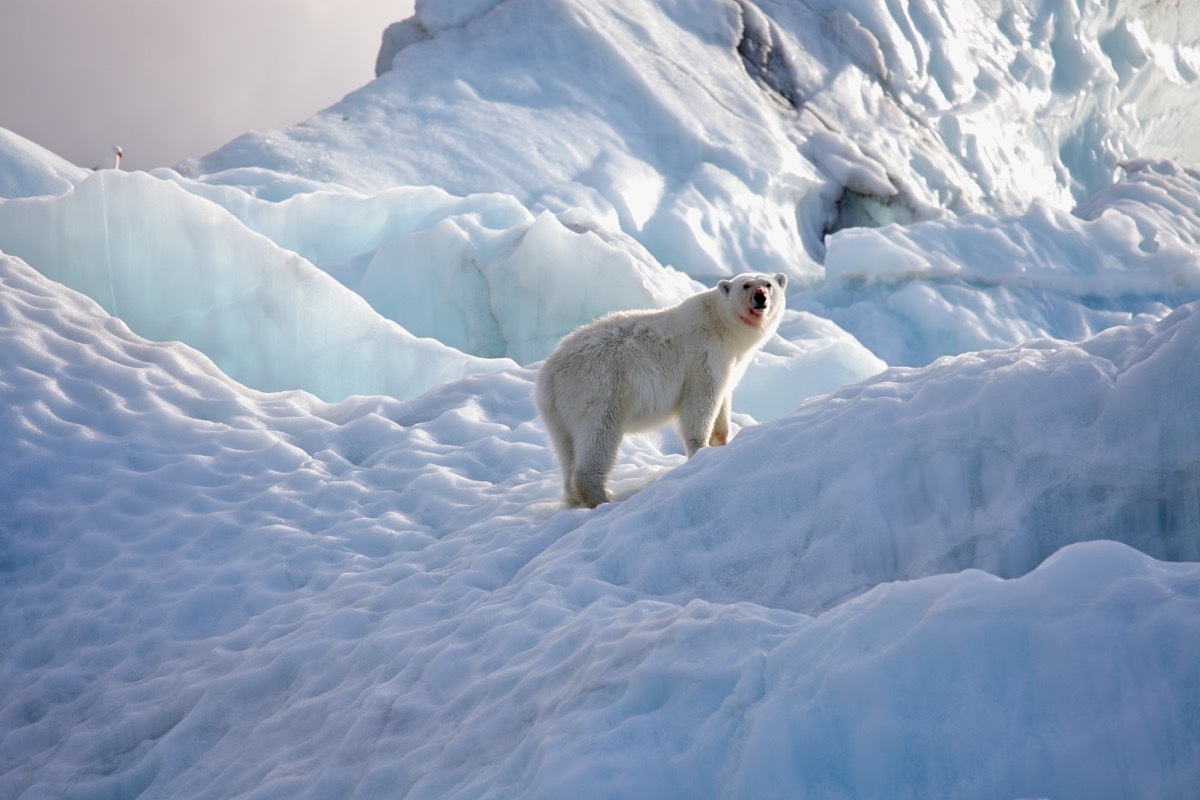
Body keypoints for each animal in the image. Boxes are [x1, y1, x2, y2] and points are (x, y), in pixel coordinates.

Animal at [535, 268, 787, 506]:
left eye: (768, 284)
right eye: (746, 285)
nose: (760, 296)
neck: (720, 323)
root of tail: (549, 375)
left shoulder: (728, 364)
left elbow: (723, 399)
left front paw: (721, 441)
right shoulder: (704, 356)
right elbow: (701, 401)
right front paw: (700, 451)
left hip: (558, 412)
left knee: (565, 448)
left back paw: (574, 497)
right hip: (598, 389)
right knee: (599, 434)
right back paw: (603, 496)